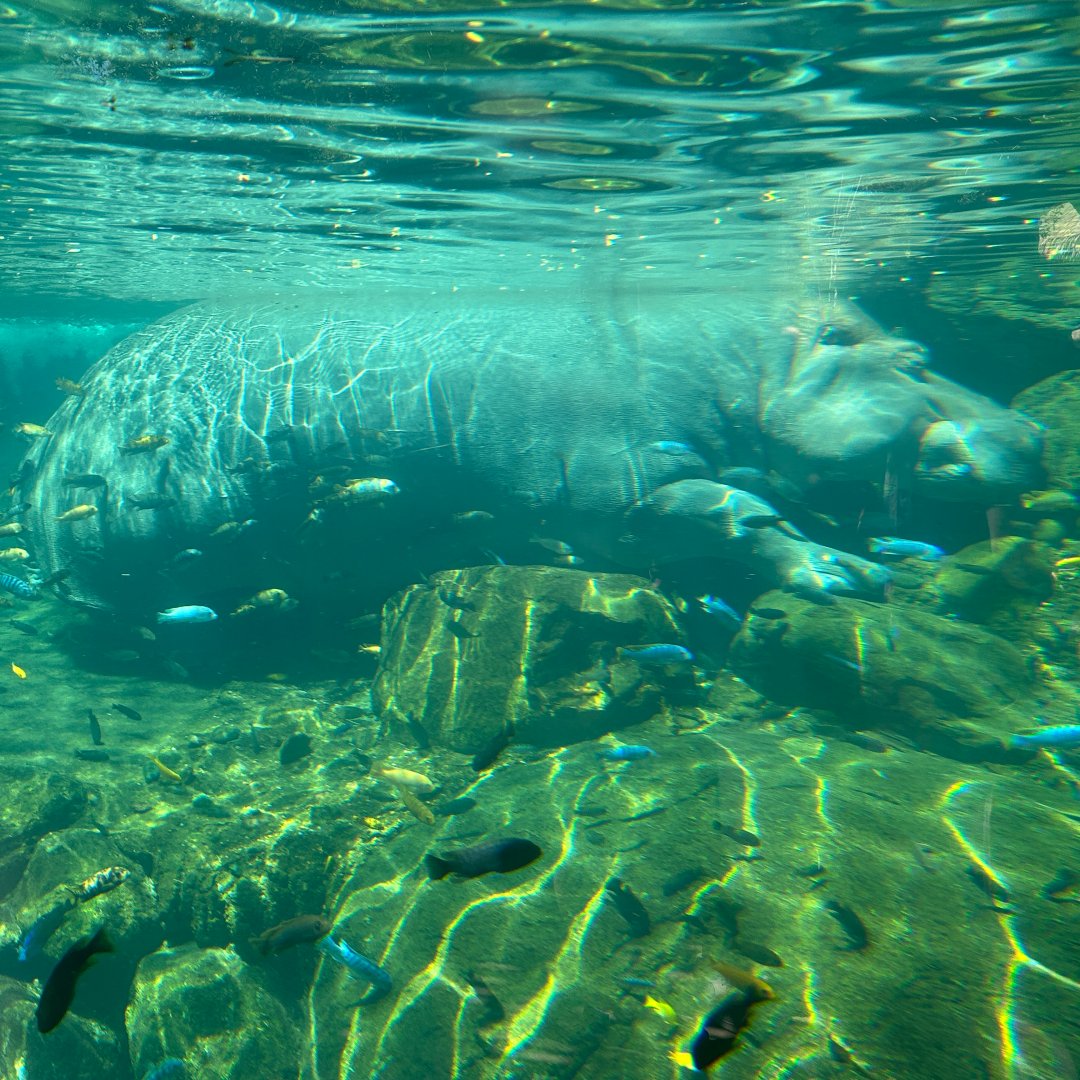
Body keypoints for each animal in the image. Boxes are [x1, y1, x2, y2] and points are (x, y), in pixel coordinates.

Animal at [15, 284, 1042, 622]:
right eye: (912, 356)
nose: (1030, 432)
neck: (749, 366)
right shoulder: (623, 499)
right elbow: (744, 516)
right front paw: (846, 573)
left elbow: (758, 507)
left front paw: (862, 557)